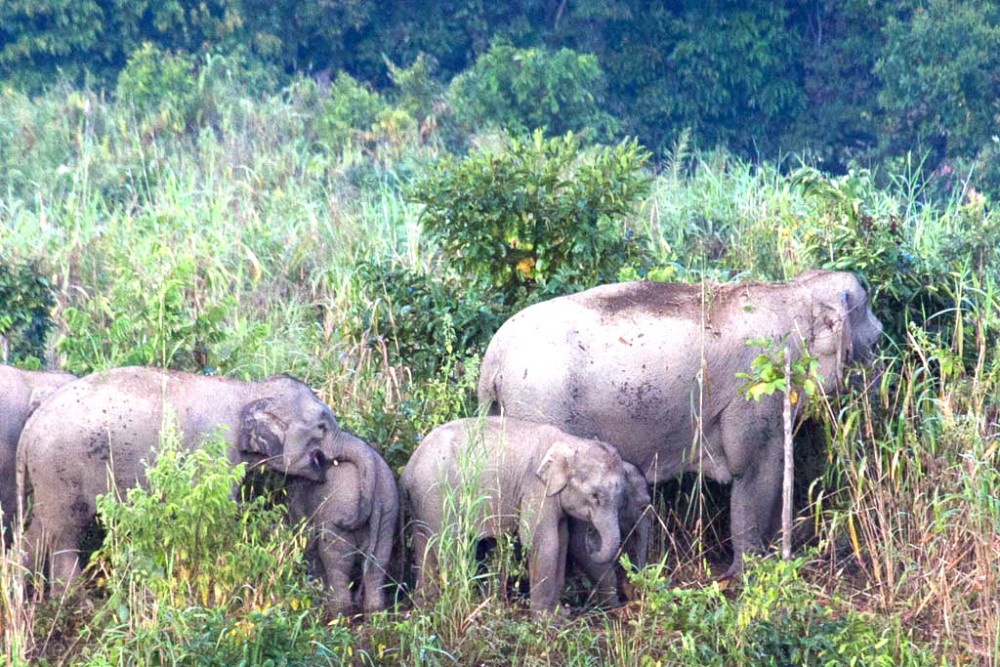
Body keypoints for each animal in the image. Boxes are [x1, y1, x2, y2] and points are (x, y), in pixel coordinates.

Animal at [16, 366, 365, 595]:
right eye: (322, 426)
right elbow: (222, 512)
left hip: (48, 477)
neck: (248, 390)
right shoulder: (214, 451)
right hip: (62, 470)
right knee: (65, 533)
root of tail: (30, 429)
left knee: (41, 529)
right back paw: (74, 604)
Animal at [284, 430, 398, 617]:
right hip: (387, 508)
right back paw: (374, 611)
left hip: (339, 506)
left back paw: (339, 612)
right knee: (378, 559)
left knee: (337, 558)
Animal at [400, 416, 629, 615]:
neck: (570, 442)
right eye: (594, 496)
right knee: (450, 545)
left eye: (620, 498)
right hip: (438, 495)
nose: (592, 537)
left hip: (425, 502)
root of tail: (409, 466)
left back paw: (426, 607)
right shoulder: (535, 488)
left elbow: (562, 540)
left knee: (424, 545)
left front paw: (561, 614)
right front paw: (547, 621)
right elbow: (542, 541)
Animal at [478, 269, 882, 575]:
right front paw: (753, 573)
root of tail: (491, 361)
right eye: (877, 339)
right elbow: (754, 470)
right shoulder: (755, 387)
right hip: (540, 405)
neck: (792, 291)